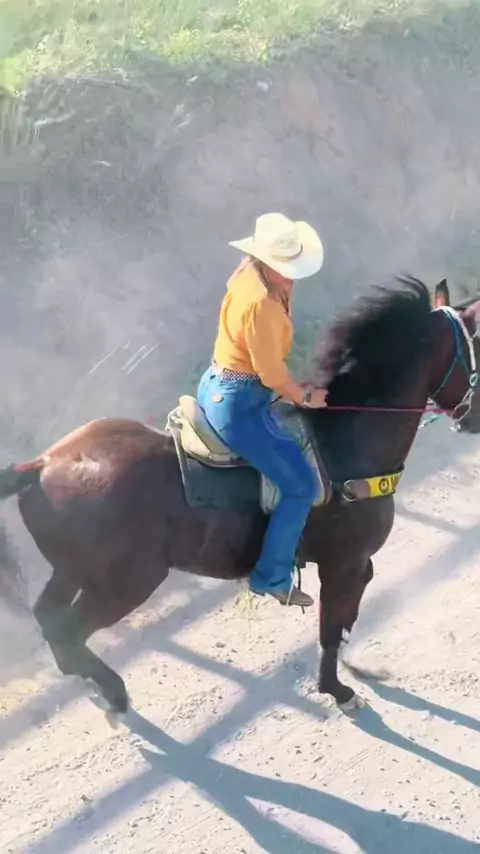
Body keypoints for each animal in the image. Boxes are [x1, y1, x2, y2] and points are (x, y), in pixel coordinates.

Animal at [0, 276, 479, 719]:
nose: (471, 420)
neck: (345, 445)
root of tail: (42, 464)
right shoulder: (344, 563)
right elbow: (330, 627)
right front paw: (337, 690)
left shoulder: (356, 565)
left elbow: (346, 620)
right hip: (123, 583)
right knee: (68, 629)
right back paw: (115, 694)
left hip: (72, 573)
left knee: (49, 619)